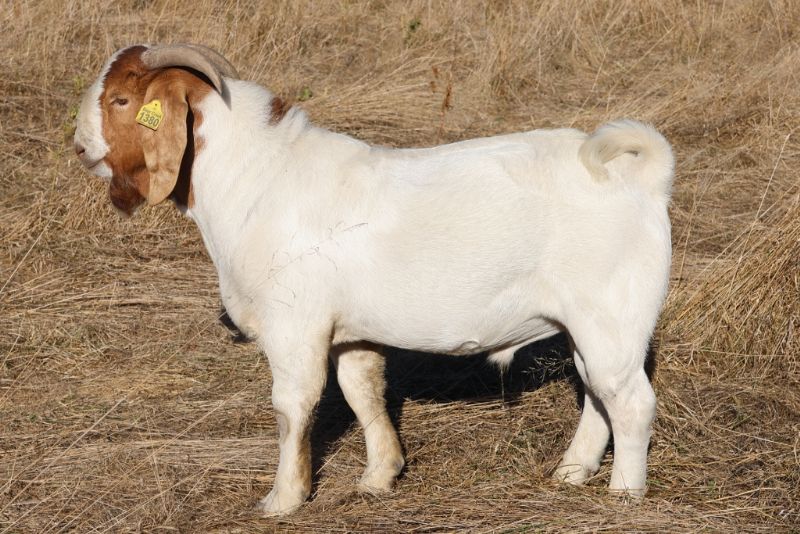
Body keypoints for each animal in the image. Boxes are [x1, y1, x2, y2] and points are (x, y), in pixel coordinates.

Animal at [74, 43, 674, 516]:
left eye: (121, 101)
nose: (79, 146)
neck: (258, 177)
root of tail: (642, 177)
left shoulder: (294, 325)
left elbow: (293, 406)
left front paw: (282, 499)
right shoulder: (350, 333)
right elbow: (363, 392)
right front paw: (379, 477)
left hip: (611, 318)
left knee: (630, 401)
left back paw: (624, 493)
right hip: (589, 327)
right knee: (597, 394)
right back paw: (571, 473)